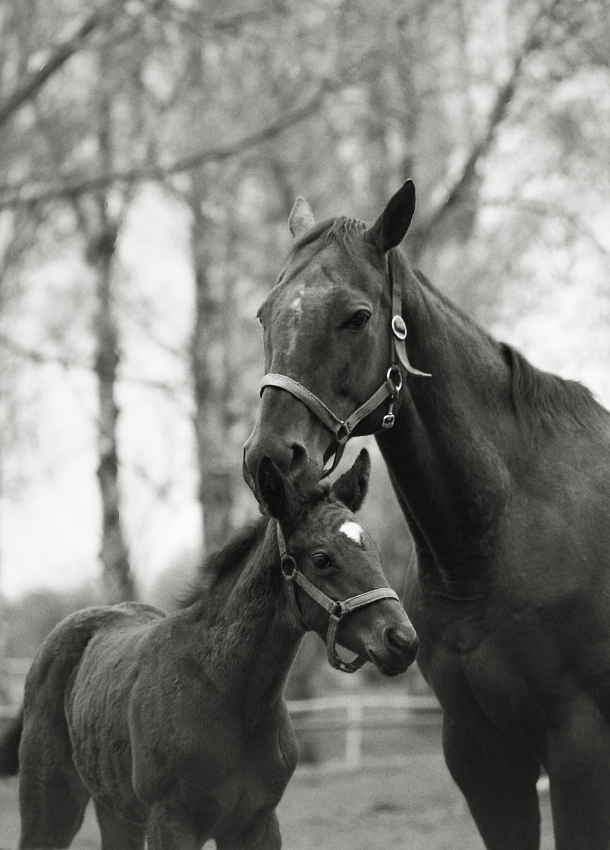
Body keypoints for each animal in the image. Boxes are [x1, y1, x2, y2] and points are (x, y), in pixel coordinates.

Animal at [0, 448, 416, 844]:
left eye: (376, 552)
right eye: (321, 559)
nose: (403, 641)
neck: (232, 697)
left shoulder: (257, 824)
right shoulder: (171, 822)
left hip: (117, 810)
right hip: (51, 803)